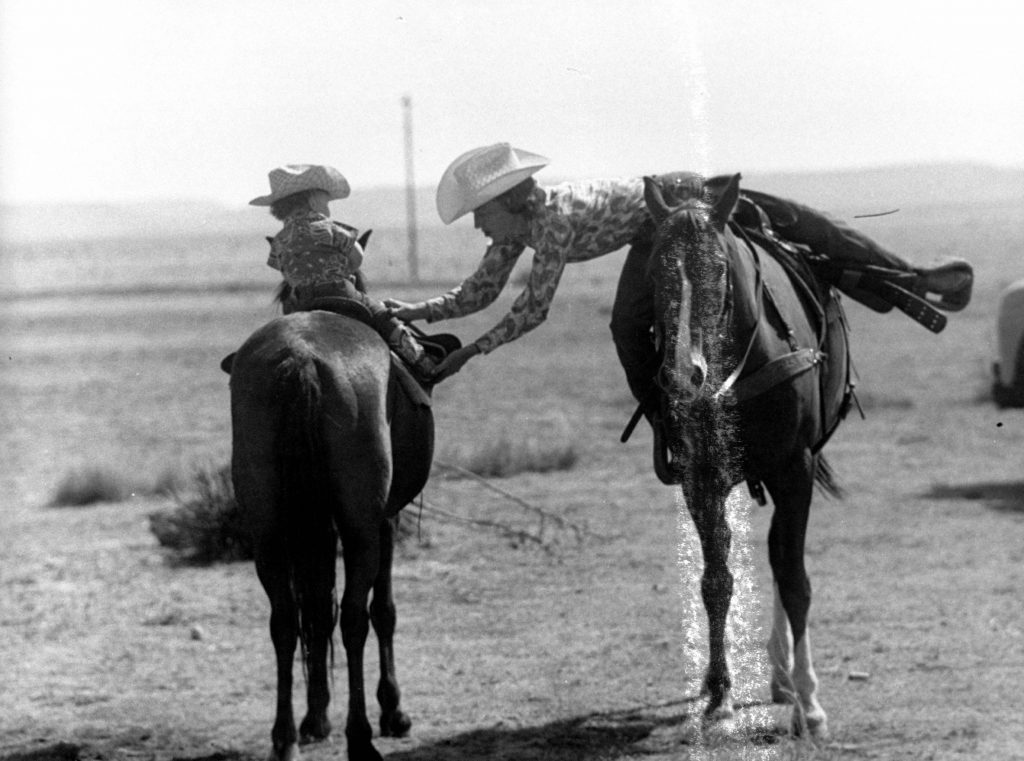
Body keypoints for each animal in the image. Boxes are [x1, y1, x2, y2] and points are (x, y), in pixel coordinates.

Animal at [230, 307, 434, 761]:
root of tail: (301, 359)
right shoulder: (385, 520)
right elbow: (382, 611)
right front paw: (394, 712)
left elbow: (317, 611)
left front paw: (315, 718)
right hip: (360, 529)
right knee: (355, 618)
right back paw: (360, 736)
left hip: (268, 533)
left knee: (286, 620)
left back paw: (285, 737)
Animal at [643, 173, 851, 737]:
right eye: (653, 270)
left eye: (717, 268)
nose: (681, 375)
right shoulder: (701, 477)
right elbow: (716, 580)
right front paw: (720, 694)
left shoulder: (795, 468)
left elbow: (795, 578)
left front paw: (811, 706)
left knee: (783, 556)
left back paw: (788, 679)